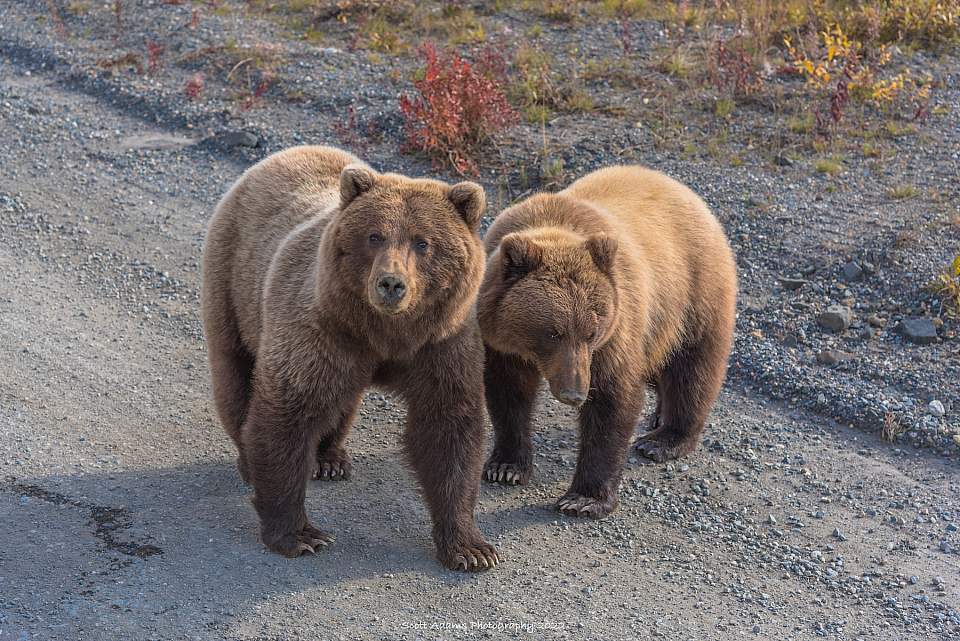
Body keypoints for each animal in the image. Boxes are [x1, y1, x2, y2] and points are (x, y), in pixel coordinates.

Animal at [203, 145, 502, 568]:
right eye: (374, 236)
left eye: (422, 242)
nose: (391, 283)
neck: (384, 334)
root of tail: (282, 154)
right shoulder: (319, 329)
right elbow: (288, 414)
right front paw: (301, 534)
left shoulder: (442, 343)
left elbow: (448, 427)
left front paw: (471, 548)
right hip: (234, 282)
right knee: (235, 377)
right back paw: (249, 461)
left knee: (342, 400)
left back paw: (329, 458)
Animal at [478, 166, 736, 520]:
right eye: (553, 332)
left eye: (591, 331)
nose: (574, 393)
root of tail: (689, 194)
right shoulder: (502, 342)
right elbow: (508, 392)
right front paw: (506, 466)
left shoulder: (614, 333)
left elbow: (612, 400)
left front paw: (583, 499)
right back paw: (659, 416)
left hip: (693, 292)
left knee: (693, 367)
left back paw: (663, 439)